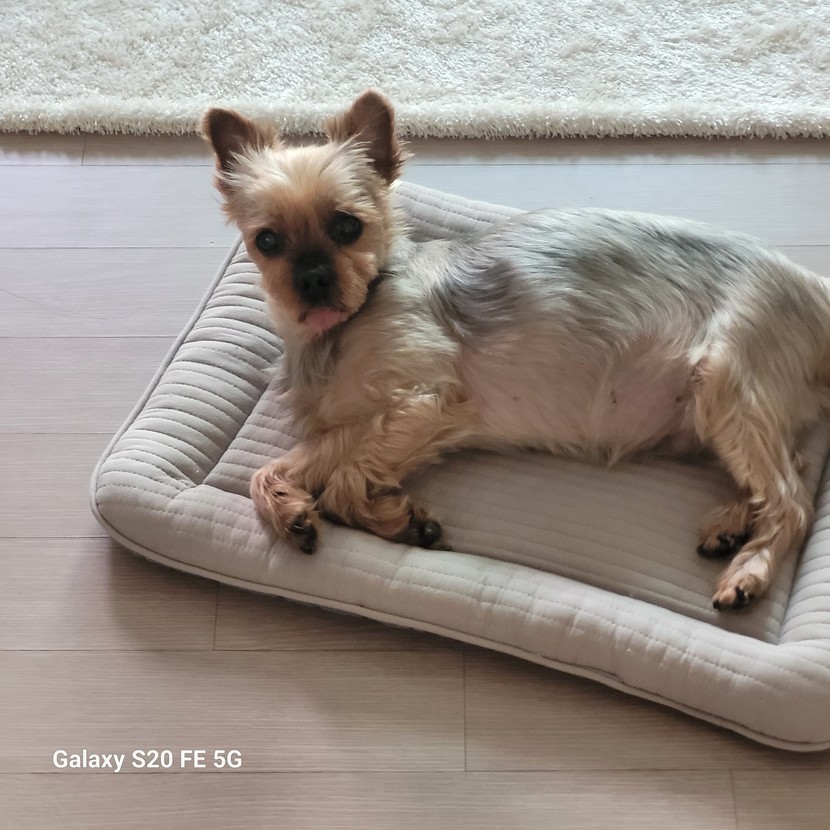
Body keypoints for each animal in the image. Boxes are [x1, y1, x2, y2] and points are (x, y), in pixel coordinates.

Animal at [202, 90, 830, 611]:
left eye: (346, 227)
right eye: (267, 241)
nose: (312, 278)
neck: (338, 330)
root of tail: (816, 288)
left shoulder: (424, 402)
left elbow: (341, 484)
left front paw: (398, 520)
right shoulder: (363, 423)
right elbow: (272, 470)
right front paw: (292, 511)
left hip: (726, 381)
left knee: (793, 500)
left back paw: (749, 571)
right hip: (726, 414)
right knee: (791, 471)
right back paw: (732, 524)